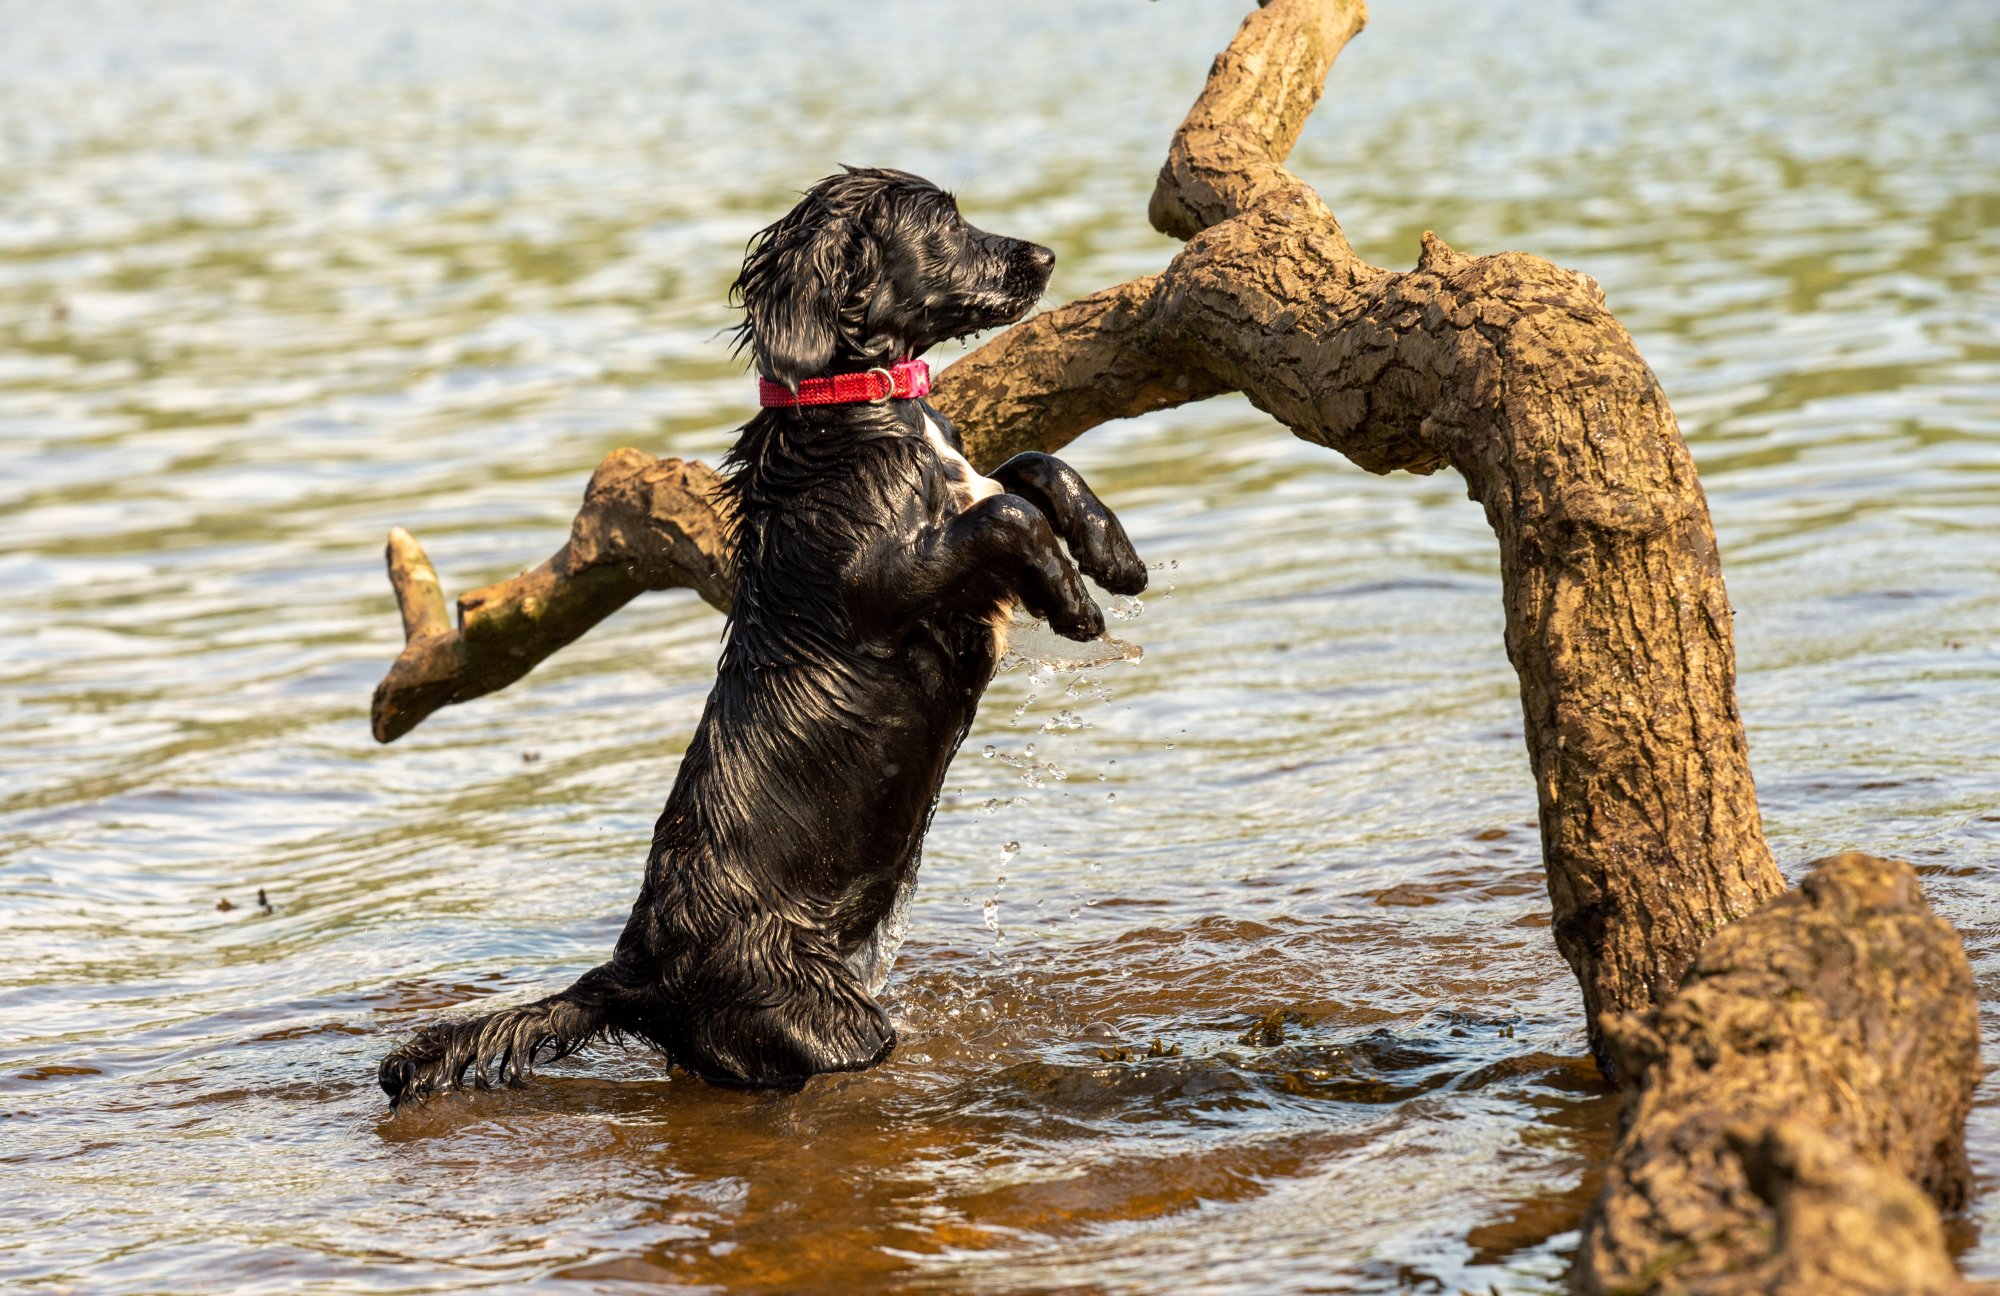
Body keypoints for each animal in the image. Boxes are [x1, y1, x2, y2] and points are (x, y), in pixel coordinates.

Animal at [376, 170, 1152, 1104]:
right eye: (942, 221)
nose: (1045, 256)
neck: (860, 414)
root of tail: (633, 974)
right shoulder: (883, 584)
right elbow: (1004, 512)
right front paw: (1074, 601)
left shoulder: (964, 498)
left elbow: (1033, 467)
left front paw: (1115, 555)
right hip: (823, 1018)